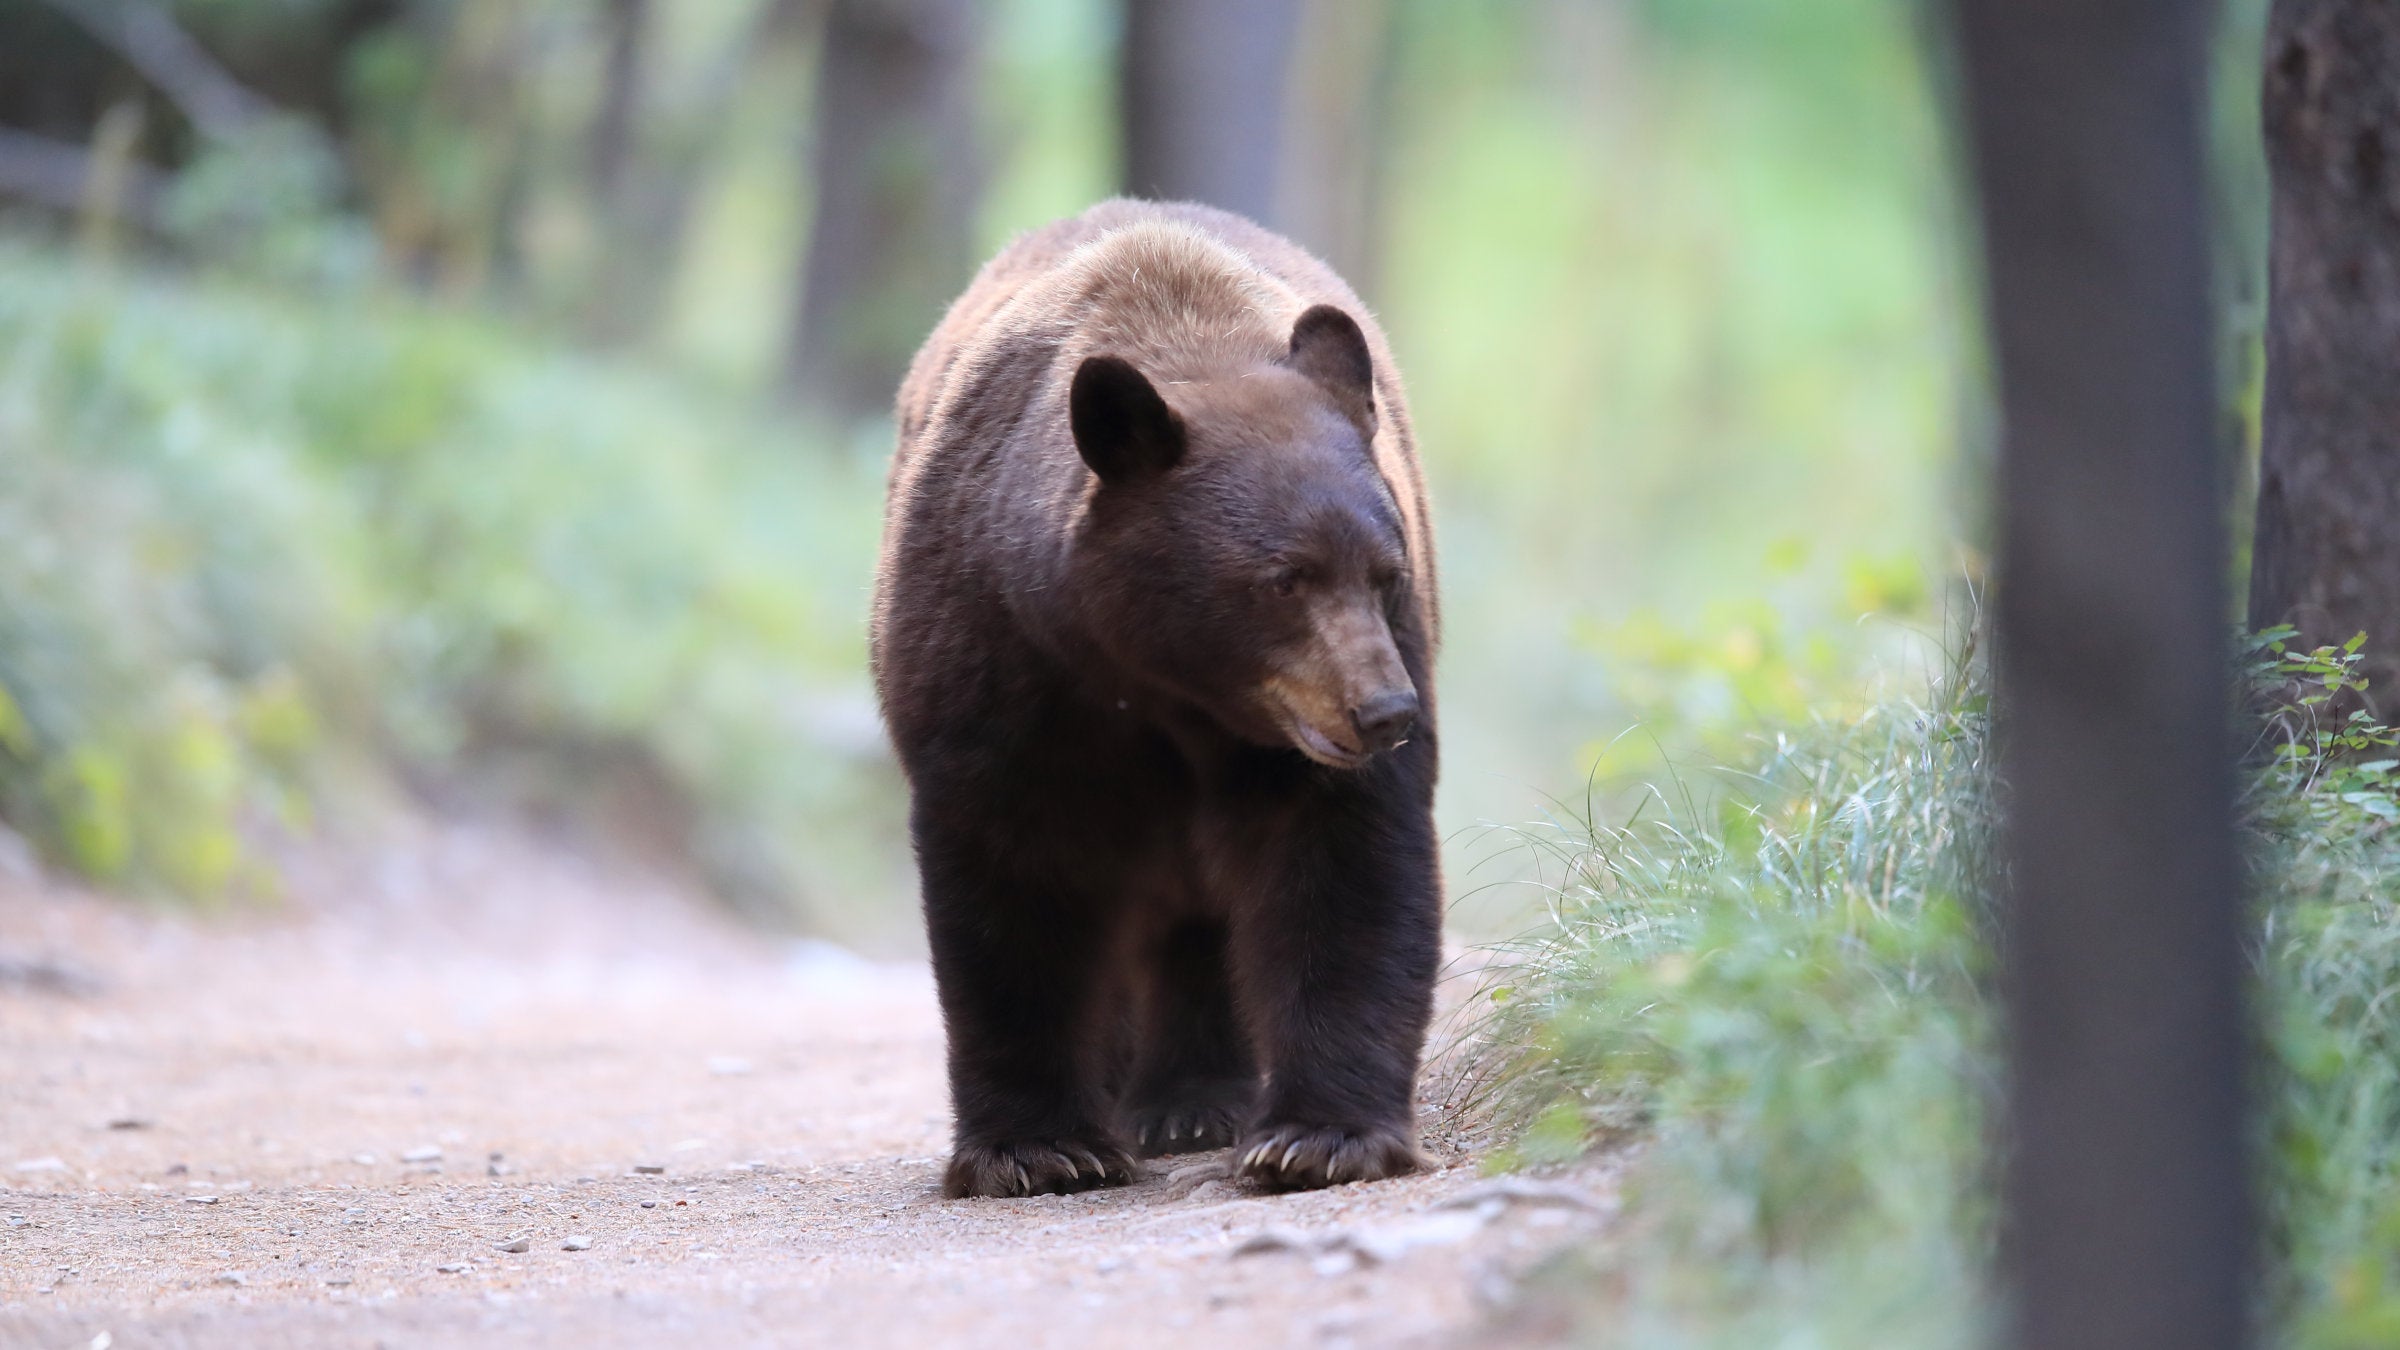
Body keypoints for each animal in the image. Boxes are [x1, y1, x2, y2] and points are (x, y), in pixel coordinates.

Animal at [870, 198, 1441, 1198]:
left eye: (1386, 570)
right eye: (1284, 579)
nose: (1385, 713)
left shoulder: (1324, 717)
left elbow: (1347, 862)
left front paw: (1322, 1135)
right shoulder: (1001, 658)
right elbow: (1010, 875)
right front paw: (1039, 1146)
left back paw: (1190, 1101)